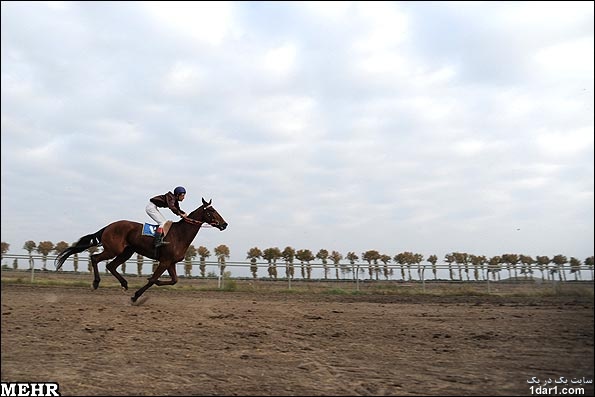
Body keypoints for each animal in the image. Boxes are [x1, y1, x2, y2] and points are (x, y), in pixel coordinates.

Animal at [55, 196, 228, 302]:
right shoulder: (164, 261)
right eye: (211, 211)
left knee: (110, 265)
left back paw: (124, 284)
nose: (224, 224)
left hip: (126, 252)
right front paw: (136, 296)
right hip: (114, 250)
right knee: (95, 258)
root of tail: (108, 227)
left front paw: (155, 282)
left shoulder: (170, 262)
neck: (180, 234)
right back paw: (96, 283)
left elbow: (174, 280)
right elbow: (152, 280)